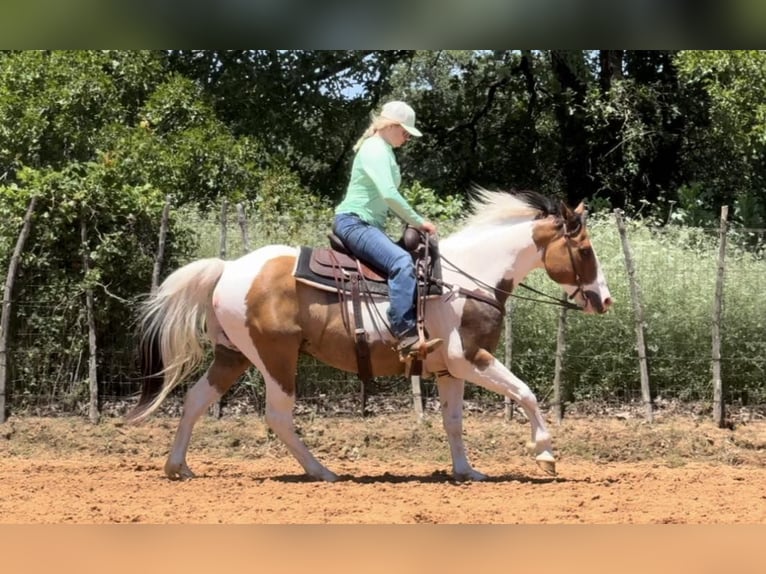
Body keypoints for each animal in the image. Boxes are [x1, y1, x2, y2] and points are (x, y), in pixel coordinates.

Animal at [127, 188, 616, 482]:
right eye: (585, 249)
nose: (604, 300)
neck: (466, 278)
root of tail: (229, 268)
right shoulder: (472, 358)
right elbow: (526, 392)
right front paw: (545, 452)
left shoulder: (449, 370)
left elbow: (453, 421)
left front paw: (466, 471)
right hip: (275, 358)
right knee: (278, 416)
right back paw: (322, 472)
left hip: (233, 355)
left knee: (195, 400)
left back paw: (177, 466)